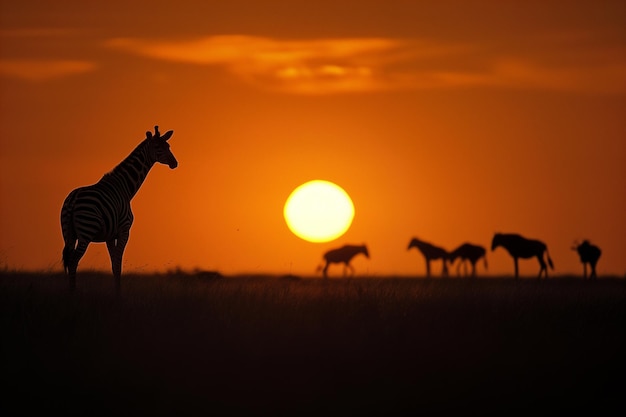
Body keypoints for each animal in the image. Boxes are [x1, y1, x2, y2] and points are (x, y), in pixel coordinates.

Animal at [60, 125, 178, 290]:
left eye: (168, 146)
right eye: (157, 147)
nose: (175, 163)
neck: (124, 188)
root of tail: (73, 199)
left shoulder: (110, 236)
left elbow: (113, 265)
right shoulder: (124, 230)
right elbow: (118, 265)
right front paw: (118, 293)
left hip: (68, 233)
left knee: (69, 260)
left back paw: (70, 291)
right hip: (86, 230)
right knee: (73, 261)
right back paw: (73, 292)